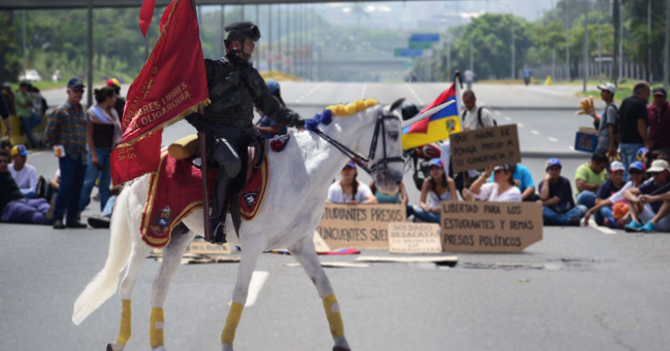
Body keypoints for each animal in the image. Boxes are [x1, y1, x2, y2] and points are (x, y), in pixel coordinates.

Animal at [71, 98, 436, 351]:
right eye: (393, 133)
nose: (392, 181)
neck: (303, 171)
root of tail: (141, 171)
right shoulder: (254, 244)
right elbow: (241, 294)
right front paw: (225, 343)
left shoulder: (301, 245)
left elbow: (326, 289)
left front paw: (341, 343)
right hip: (148, 238)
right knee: (126, 285)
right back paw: (118, 341)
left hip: (178, 239)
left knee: (159, 288)